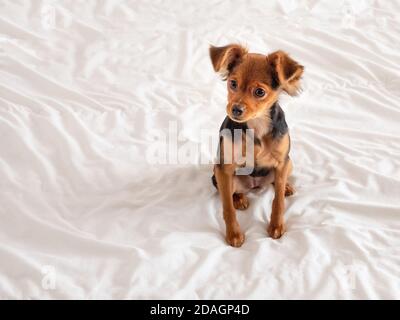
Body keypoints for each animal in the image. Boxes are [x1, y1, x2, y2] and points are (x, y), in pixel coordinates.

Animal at [209, 42, 304, 248]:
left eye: (259, 92)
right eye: (233, 83)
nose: (235, 109)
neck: (257, 124)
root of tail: (254, 186)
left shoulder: (282, 162)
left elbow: (278, 201)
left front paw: (276, 226)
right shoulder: (224, 168)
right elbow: (227, 206)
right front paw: (234, 234)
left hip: (289, 163)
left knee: (278, 181)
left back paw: (286, 186)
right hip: (218, 175)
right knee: (230, 192)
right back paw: (239, 198)